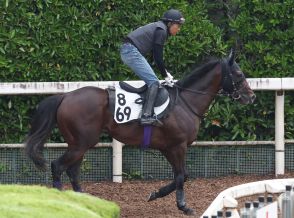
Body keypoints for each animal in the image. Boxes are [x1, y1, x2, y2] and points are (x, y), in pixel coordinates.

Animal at [24, 50, 255, 215]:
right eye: (239, 74)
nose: (251, 97)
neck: (185, 102)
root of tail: (65, 96)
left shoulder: (168, 148)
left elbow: (181, 175)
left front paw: (155, 194)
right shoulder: (177, 146)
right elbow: (182, 175)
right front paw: (183, 206)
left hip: (80, 144)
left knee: (72, 171)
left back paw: (84, 202)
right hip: (80, 143)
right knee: (58, 166)